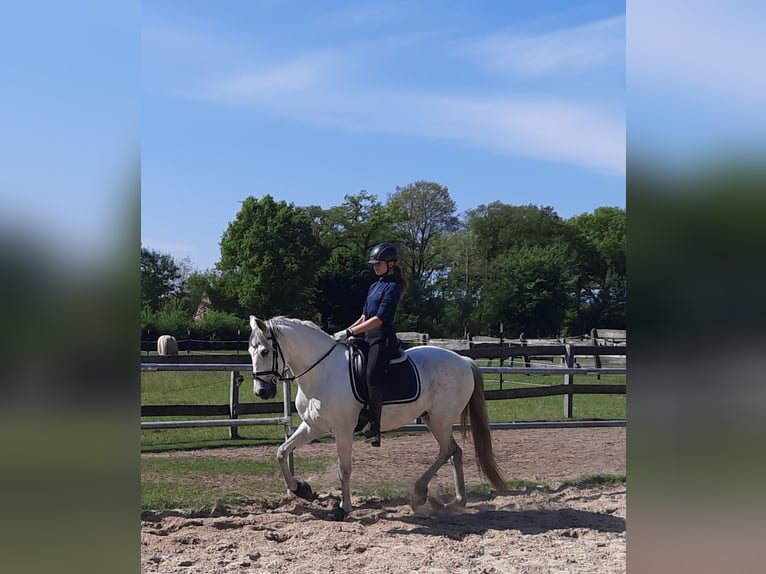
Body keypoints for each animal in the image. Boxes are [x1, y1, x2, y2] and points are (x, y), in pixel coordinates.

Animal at [248, 315, 508, 521]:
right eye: (250, 351)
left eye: (265, 351)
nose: (261, 392)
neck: (322, 372)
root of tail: (463, 360)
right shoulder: (313, 427)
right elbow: (282, 452)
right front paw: (301, 489)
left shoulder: (342, 431)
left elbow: (344, 469)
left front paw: (343, 509)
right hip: (432, 419)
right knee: (454, 453)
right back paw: (456, 500)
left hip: (440, 420)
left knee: (448, 451)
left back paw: (422, 494)